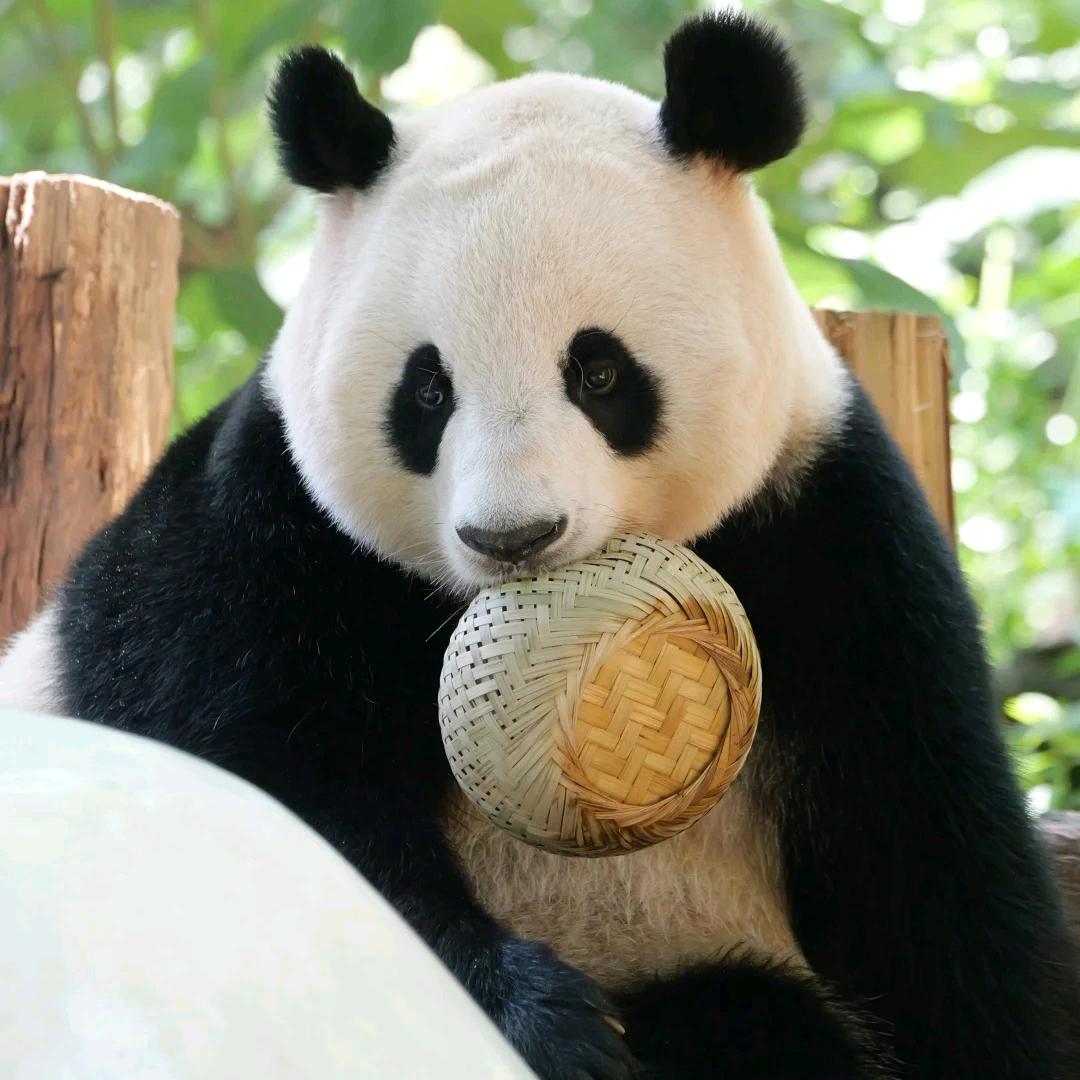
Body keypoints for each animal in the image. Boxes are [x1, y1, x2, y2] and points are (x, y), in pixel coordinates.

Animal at [1, 12, 1077, 1079]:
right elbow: (280, 805)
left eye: (598, 372)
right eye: (428, 389)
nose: (511, 536)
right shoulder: (263, 542)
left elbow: (928, 867)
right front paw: (542, 1013)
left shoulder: (832, 538)